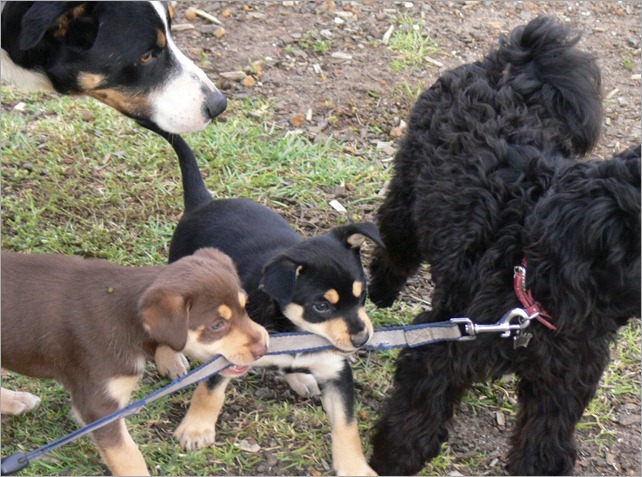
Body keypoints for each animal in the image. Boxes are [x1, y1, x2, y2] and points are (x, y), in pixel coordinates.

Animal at [1, 247, 268, 474]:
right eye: (217, 325)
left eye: (245, 307)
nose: (264, 348)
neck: (129, 320)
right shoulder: (97, 407)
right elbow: (127, 456)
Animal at [149, 124, 380, 474]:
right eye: (321, 306)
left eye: (362, 293)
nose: (361, 339)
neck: (295, 332)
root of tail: (203, 202)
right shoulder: (229, 350)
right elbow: (209, 390)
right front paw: (196, 429)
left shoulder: (336, 370)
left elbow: (346, 424)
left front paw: (354, 467)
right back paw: (169, 359)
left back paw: (299, 377)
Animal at [368, 15, 636, 476]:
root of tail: (507, 67)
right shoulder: (445, 342)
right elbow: (415, 416)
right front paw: (390, 458)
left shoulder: (564, 380)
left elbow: (544, 442)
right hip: (407, 202)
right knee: (392, 244)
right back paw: (380, 292)